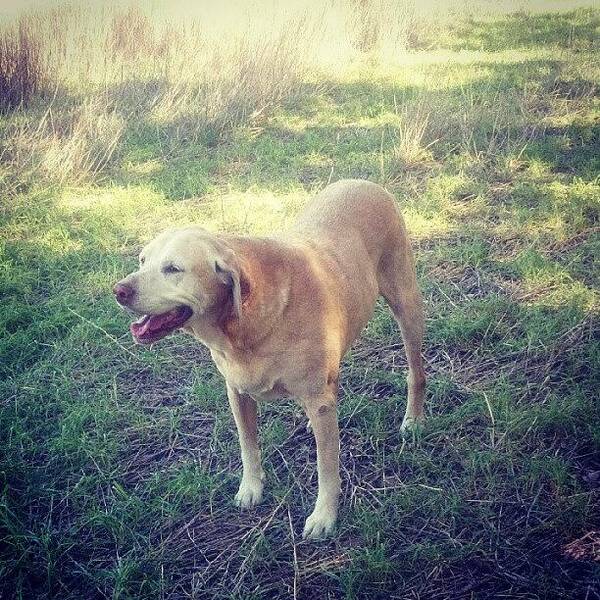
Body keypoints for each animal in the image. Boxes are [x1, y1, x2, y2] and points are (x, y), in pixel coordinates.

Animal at [115, 179, 424, 540]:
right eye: (142, 260)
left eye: (173, 269)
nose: (118, 290)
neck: (243, 325)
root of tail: (364, 181)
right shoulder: (237, 392)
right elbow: (248, 445)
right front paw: (251, 488)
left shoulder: (316, 399)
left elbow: (327, 465)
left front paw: (324, 515)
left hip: (406, 306)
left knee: (416, 372)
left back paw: (413, 418)